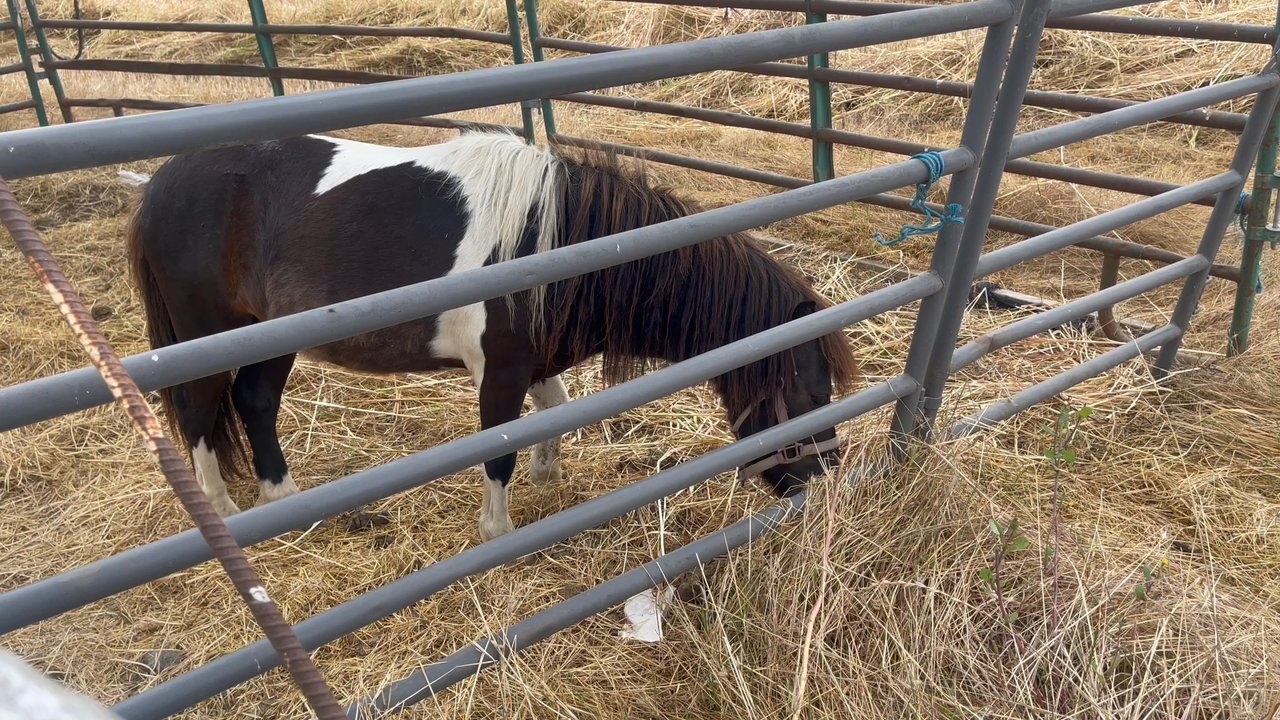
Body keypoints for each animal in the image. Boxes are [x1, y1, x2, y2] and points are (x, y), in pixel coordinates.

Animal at [126, 129, 860, 541]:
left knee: (253, 402)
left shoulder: (536, 362)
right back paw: (227, 506)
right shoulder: (500, 372)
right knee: (198, 411)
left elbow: (554, 412)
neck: (562, 246)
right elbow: (499, 450)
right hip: (210, 336)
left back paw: (285, 500)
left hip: (269, 337)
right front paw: (497, 531)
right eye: (806, 393)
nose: (822, 485)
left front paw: (548, 476)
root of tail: (162, 183)